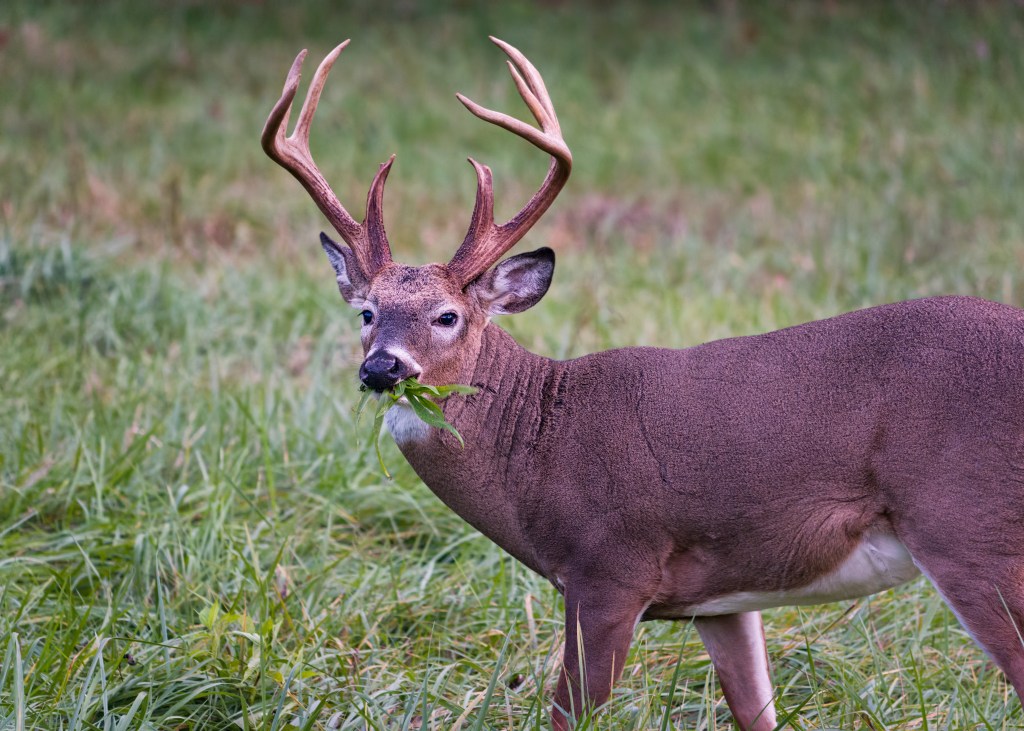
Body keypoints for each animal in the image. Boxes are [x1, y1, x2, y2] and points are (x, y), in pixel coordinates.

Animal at [262, 35, 1024, 728]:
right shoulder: (724, 597)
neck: (538, 447)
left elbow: (569, 714)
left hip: (968, 523)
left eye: (447, 315)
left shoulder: (609, 568)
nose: (383, 367)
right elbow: (756, 711)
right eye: (366, 311)